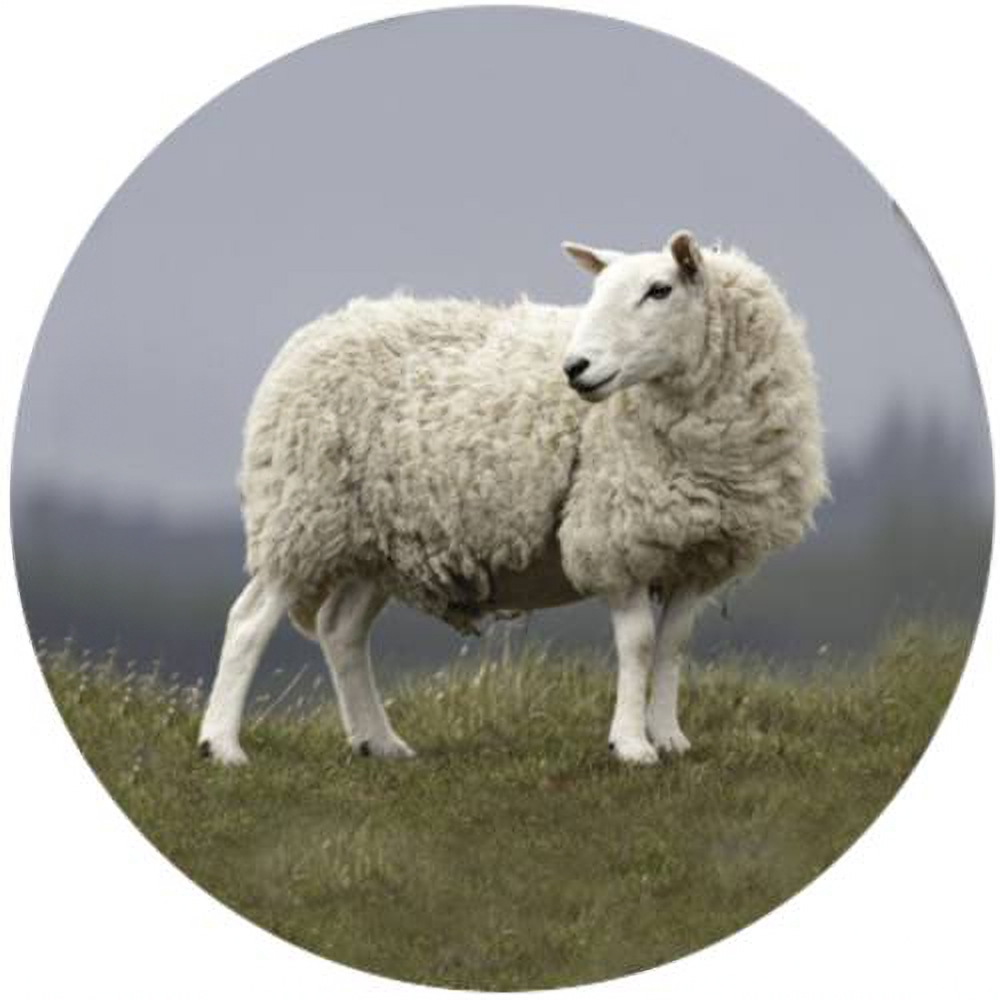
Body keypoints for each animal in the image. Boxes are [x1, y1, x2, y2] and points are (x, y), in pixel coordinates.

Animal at [198, 231, 827, 766]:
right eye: (598, 291)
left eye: (659, 290)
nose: (576, 368)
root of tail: (314, 333)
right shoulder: (612, 536)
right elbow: (639, 643)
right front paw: (630, 744)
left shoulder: (698, 548)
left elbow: (672, 645)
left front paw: (669, 737)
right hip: (302, 513)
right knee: (248, 621)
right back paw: (222, 745)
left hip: (376, 539)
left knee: (341, 629)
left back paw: (379, 742)